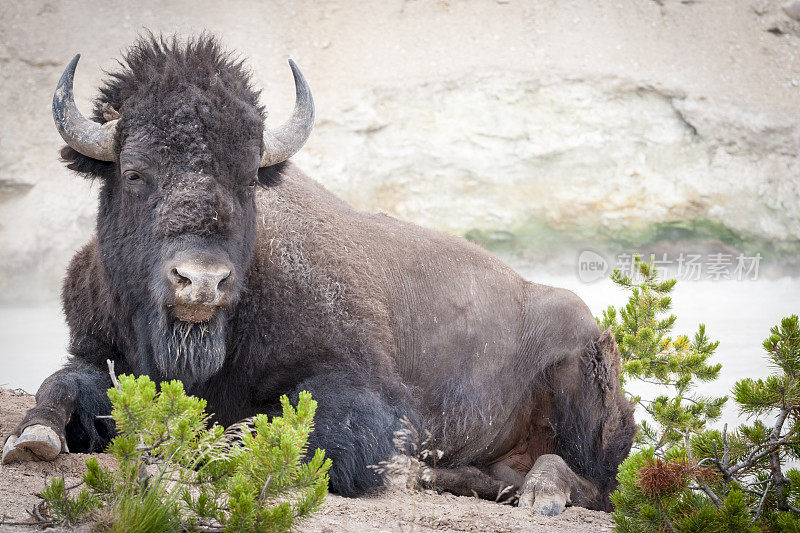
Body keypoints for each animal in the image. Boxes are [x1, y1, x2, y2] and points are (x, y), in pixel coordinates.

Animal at [3, 34, 636, 516]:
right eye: (135, 173)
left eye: (246, 179)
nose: (202, 282)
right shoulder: (95, 352)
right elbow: (62, 384)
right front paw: (31, 439)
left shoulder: (362, 392)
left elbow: (281, 428)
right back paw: (448, 479)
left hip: (584, 397)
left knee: (595, 481)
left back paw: (541, 493)